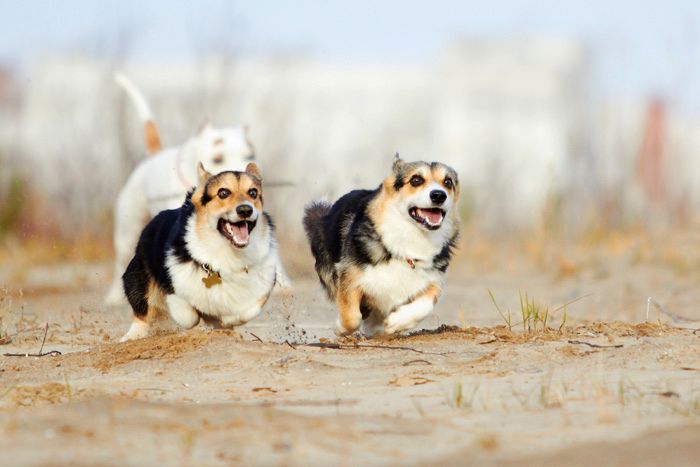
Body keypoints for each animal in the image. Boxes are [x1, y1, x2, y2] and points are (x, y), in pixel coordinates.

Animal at [103, 74, 290, 308]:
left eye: (249, 155)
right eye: (217, 158)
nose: (243, 174)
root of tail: (155, 156)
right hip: (128, 229)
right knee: (122, 258)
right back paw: (114, 297)